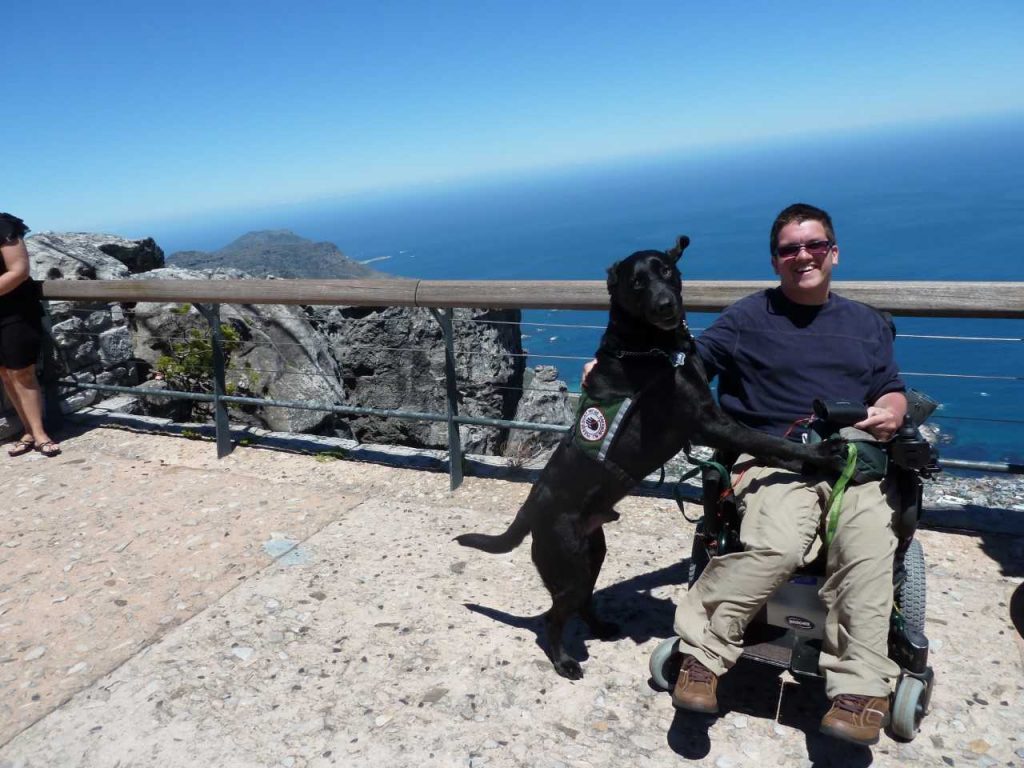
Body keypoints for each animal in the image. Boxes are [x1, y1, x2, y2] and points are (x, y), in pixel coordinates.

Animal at [458, 239, 847, 679]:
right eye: (636, 282)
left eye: (665, 271)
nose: (665, 304)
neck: (650, 348)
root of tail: (532, 506)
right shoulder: (708, 424)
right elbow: (771, 440)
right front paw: (823, 455)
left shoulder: (716, 423)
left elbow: (766, 446)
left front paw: (807, 465)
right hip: (567, 565)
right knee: (554, 617)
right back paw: (564, 661)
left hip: (591, 555)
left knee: (582, 601)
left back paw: (602, 628)